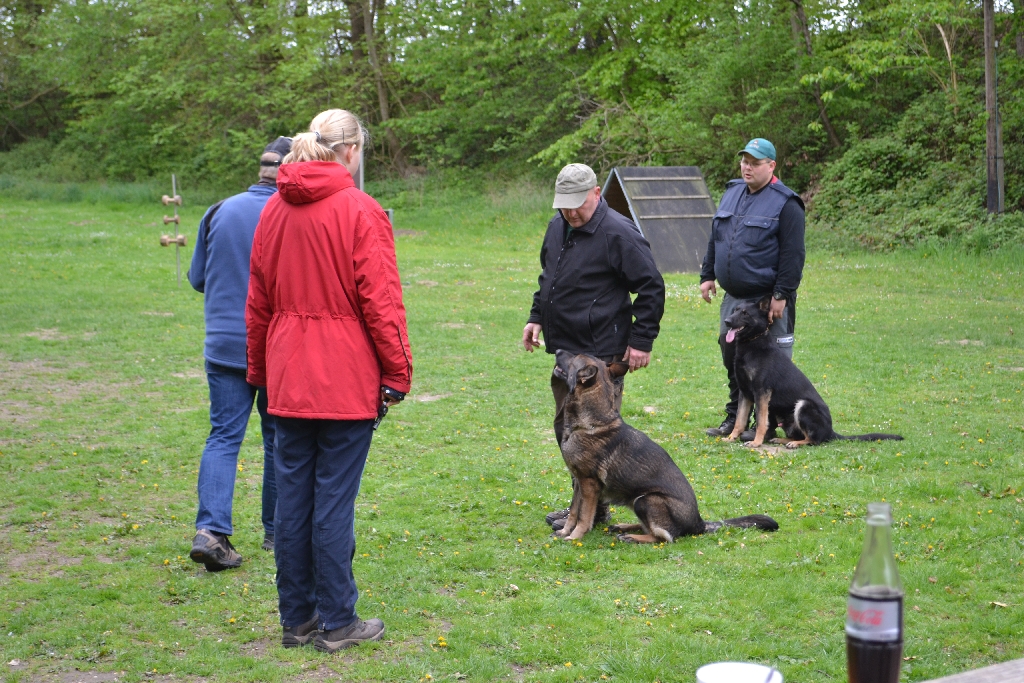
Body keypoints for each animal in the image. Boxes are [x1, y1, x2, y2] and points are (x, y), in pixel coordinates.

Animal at [552, 350, 779, 543]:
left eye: (574, 357)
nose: (558, 350)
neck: (589, 423)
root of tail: (699, 523)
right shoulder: (579, 483)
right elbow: (574, 511)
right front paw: (565, 531)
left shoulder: (589, 485)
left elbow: (584, 517)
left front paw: (575, 537)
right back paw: (625, 527)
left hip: (645, 500)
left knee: (664, 537)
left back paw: (633, 537)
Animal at [722, 297, 904, 448]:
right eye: (735, 310)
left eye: (745, 313)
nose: (727, 321)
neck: (752, 342)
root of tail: (831, 432)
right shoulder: (745, 393)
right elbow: (739, 420)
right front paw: (731, 438)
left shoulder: (761, 393)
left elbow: (761, 421)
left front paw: (756, 442)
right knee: (799, 435)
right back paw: (783, 440)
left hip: (803, 405)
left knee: (813, 440)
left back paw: (795, 444)